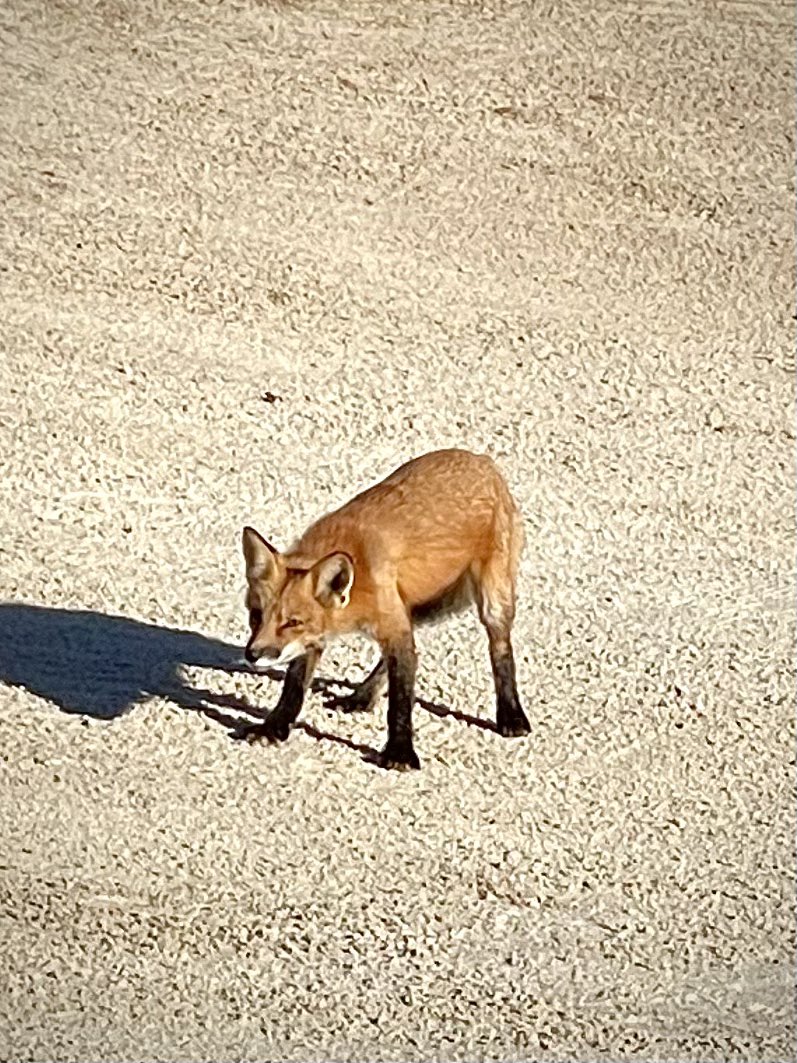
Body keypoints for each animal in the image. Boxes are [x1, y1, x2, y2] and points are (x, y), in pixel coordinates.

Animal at [238, 448, 531, 770]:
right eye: (256, 616)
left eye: (292, 622)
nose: (252, 655)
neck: (359, 577)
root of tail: (480, 458)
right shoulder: (322, 639)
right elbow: (293, 689)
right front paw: (273, 728)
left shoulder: (391, 627)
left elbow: (400, 701)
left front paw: (399, 752)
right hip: (415, 609)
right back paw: (362, 696)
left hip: (492, 602)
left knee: (501, 651)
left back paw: (511, 714)